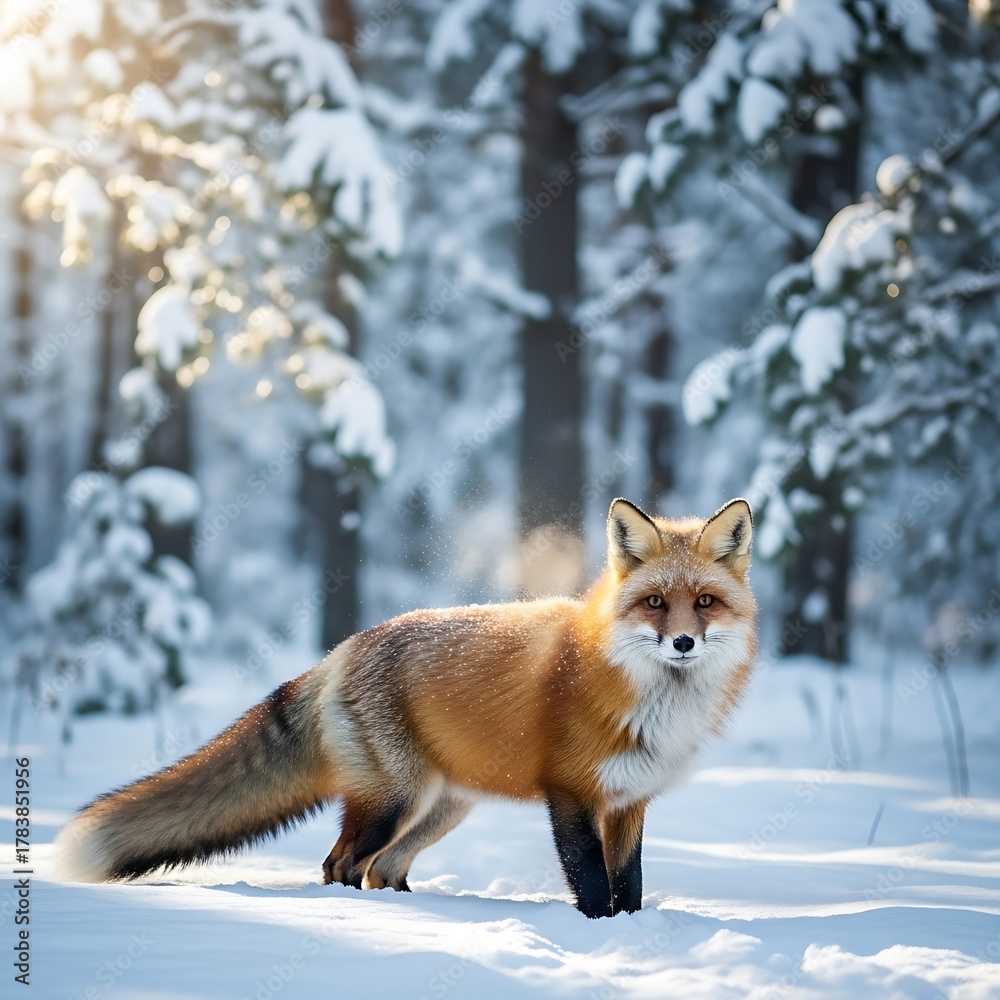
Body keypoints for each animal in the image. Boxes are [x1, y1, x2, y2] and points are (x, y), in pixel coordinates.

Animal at [55, 497, 757, 918]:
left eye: (705, 602)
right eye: (656, 603)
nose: (684, 642)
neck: (646, 700)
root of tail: (343, 648)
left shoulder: (629, 800)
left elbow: (628, 883)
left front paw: (629, 929)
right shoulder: (571, 792)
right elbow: (590, 881)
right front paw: (597, 932)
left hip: (442, 807)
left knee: (382, 867)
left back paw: (419, 914)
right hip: (395, 797)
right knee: (341, 863)